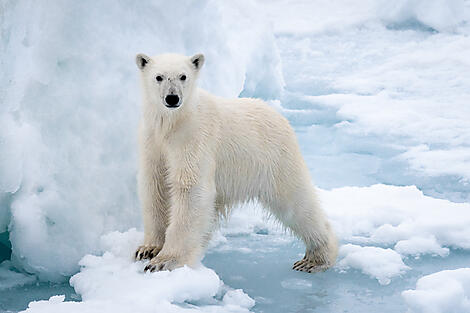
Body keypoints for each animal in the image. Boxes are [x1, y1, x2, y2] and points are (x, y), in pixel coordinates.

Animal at [134, 52, 336, 272]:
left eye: (183, 76)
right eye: (159, 77)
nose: (172, 98)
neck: (173, 123)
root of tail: (278, 115)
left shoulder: (195, 138)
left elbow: (189, 188)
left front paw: (164, 261)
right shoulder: (152, 142)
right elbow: (155, 187)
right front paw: (147, 248)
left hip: (276, 160)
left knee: (296, 204)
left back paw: (315, 258)